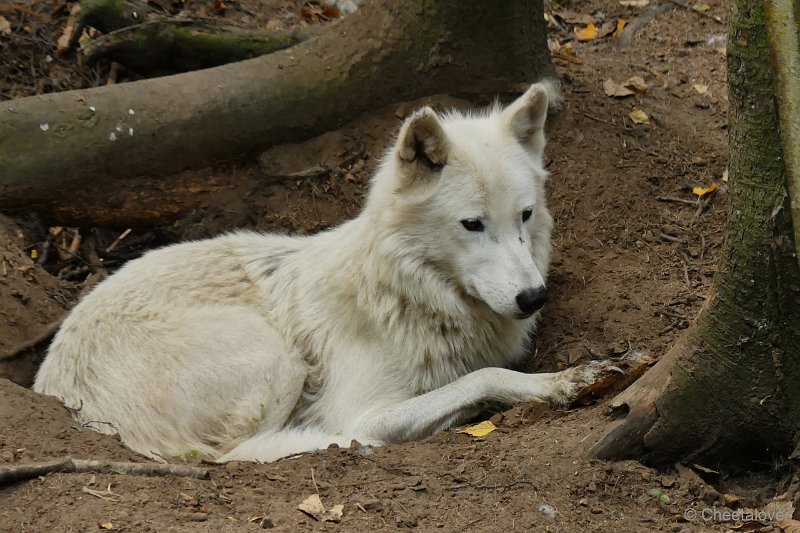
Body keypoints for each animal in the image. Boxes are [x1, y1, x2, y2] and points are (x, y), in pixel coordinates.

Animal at [34, 83, 616, 462]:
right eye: (472, 224)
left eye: (524, 215)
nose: (533, 298)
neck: (412, 297)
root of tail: (53, 383)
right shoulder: (362, 412)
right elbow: (483, 377)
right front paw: (565, 382)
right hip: (274, 356)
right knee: (237, 454)